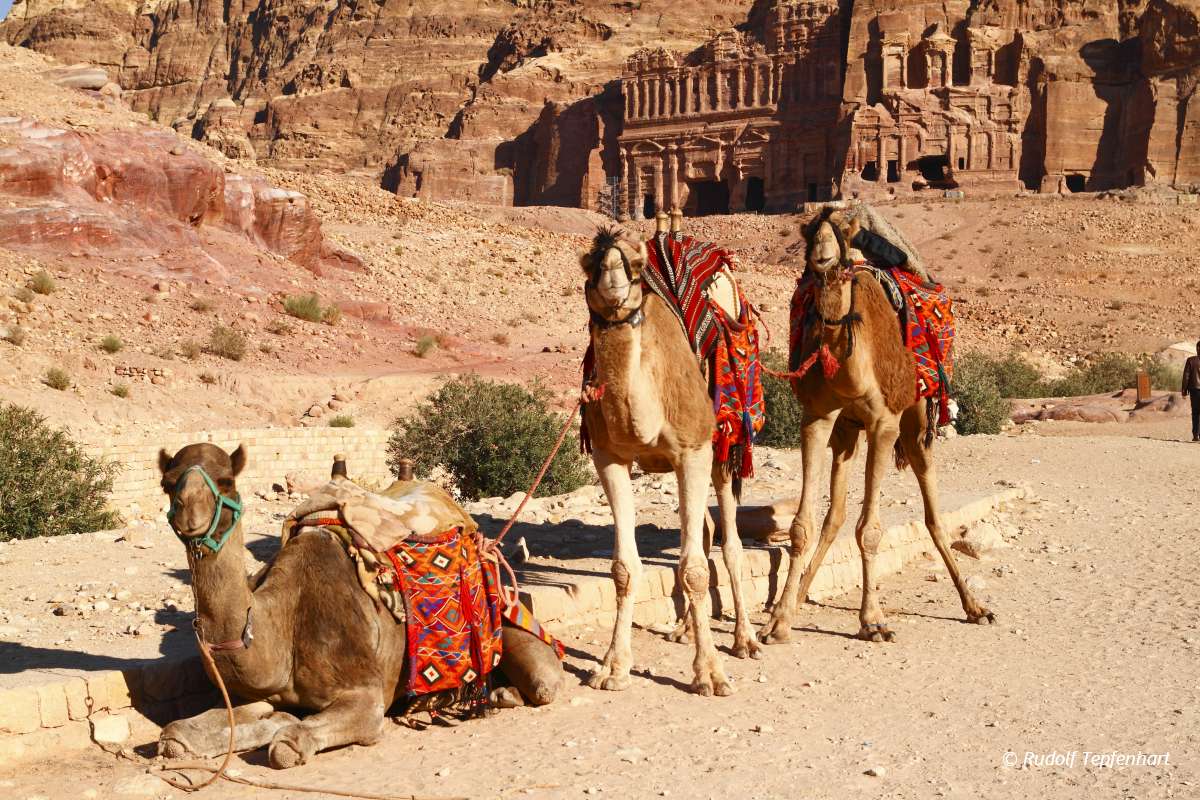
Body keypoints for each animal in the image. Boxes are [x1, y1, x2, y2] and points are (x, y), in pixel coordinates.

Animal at [156, 443, 562, 768]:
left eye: (225, 480)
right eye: (168, 482)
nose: (189, 513)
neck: (282, 624)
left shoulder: (367, 696)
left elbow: (289, 742)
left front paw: (283, 728)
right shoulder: (254, 695)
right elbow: (177, 733)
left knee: (544, 681)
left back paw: (502, 693)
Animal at [578, 219, 760, 698]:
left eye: (635, 264)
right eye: (590, 262)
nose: (612, 274)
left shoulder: (692, 450)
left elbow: (695, 569)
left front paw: (710, 674)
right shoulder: (608, 457)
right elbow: (624, 569)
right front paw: (612, 667)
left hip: (723, 445)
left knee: (729, 542)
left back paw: (746, 639)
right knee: (703, 530)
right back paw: (682, 630)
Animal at [759, 206, 995, 645]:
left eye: (843, 233)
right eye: (810, 232)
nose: (822, 256)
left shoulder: (884, 423)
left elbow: (869, 529)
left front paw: (873, 620)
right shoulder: (817, 419)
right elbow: (803, 526)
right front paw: (778, 621)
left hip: (916, 419)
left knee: (933, 512)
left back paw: (975, 607)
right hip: (847, 433)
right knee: (834, 516)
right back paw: (797, 599)